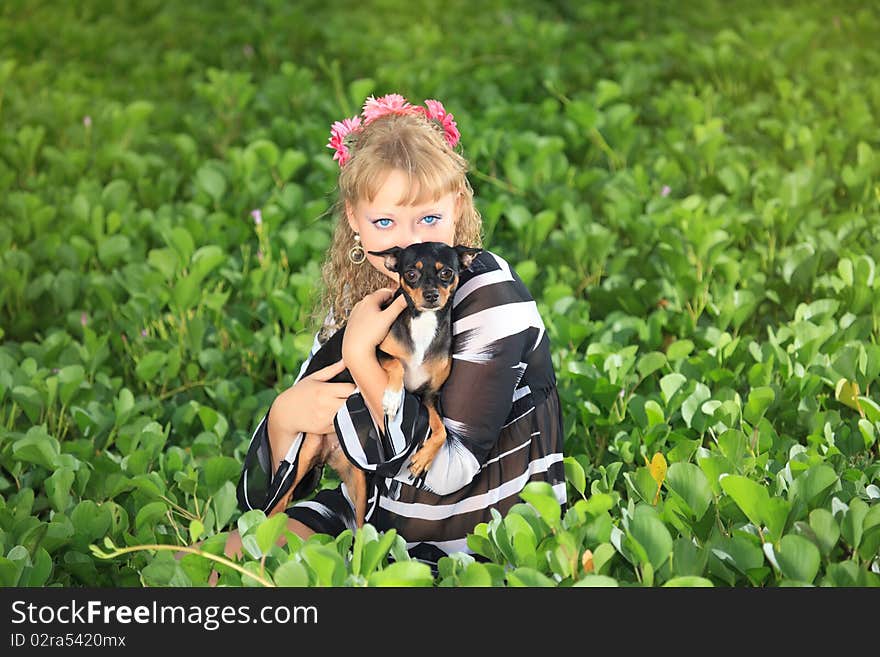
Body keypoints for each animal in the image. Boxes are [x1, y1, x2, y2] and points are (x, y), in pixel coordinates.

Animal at [268, 243, 482, 524]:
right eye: (411, 274)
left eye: (447, 272)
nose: (431, 295)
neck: (422, 326)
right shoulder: (373, 352)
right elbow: (396, 363)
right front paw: (391, 398)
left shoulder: (430, 397)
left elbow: (441, 431)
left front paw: (423, 459)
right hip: (303, 457)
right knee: (274, 508)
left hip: (359, 484)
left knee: (360, 527)